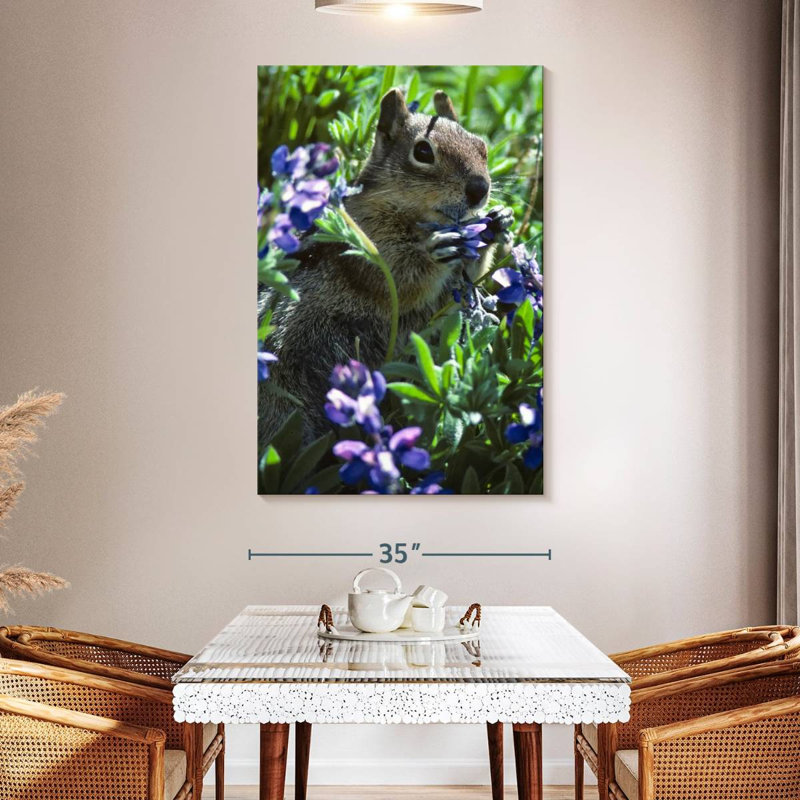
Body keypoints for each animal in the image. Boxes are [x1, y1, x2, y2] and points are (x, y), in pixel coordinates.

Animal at [259, 88, 513, 449]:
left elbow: (465, 281)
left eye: (482, 146)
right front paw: (435, 251)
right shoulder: (367, 240)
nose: (480, 189)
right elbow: (395, 276)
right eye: (423, 151)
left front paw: (498, 220)